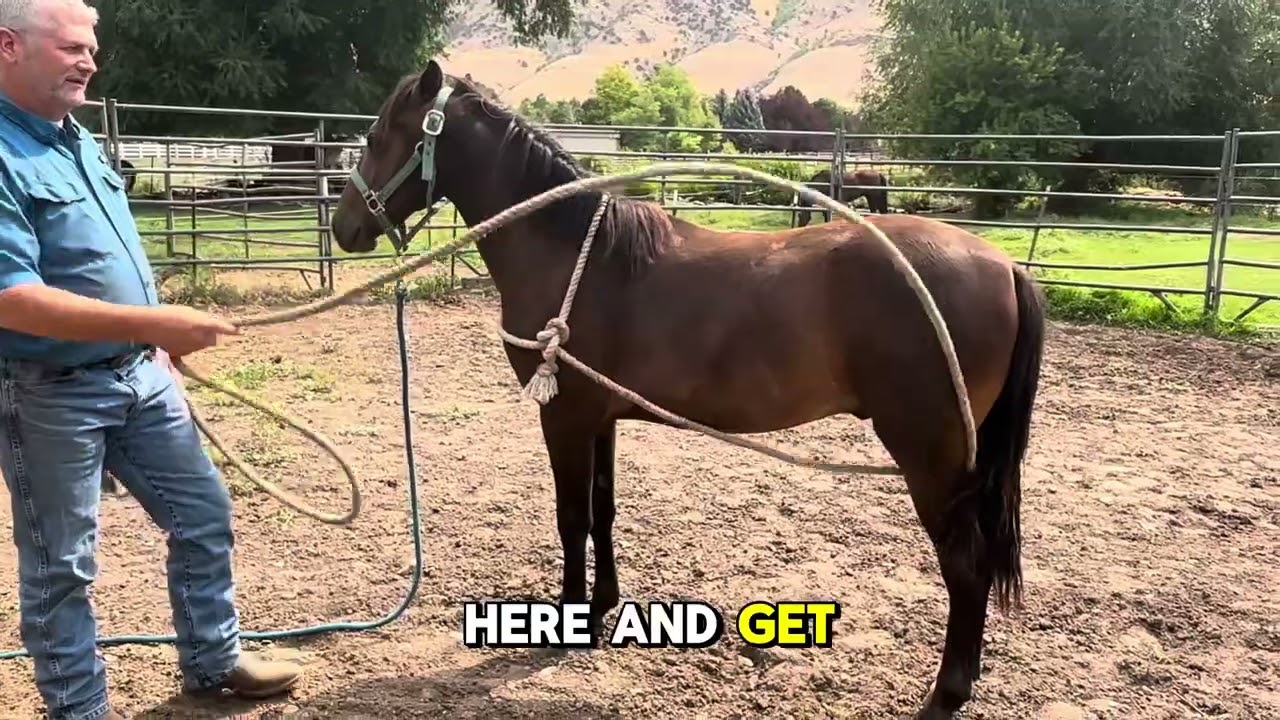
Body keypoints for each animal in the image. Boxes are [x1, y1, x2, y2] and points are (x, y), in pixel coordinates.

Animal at [330, 59, 1045, 720]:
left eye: (377, 134)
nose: (344, 227)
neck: (575, 253)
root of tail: (1004, 265)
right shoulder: (601, 418)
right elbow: (603, 511)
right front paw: (604, 607)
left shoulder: (564, 417)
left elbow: (570, 518)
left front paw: (568, 622)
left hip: (930, 456)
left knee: (966, 565)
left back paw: (947, 694)